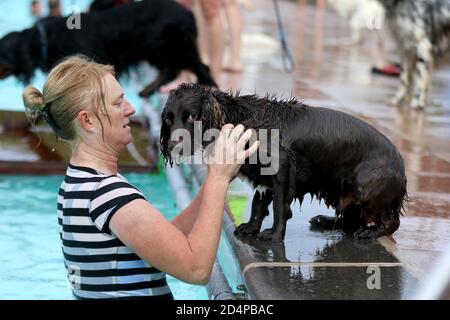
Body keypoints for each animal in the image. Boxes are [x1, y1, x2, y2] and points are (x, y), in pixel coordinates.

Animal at [159, 84, 408, 241]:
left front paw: (274, 235)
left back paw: (370, 233)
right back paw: (324, 221)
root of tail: (402, 167)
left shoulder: (281, 169)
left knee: (391, 223)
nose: (171, 145)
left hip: (366, 187)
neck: (242, 120)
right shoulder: (265, 178)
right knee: (350, 220)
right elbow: (258, 205)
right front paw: (251, 227)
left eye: (192, 116)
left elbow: (279, 207)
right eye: (168, 119)